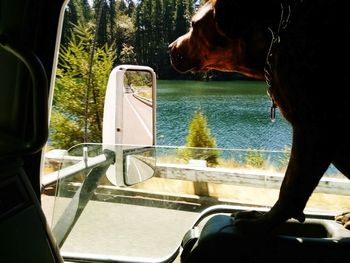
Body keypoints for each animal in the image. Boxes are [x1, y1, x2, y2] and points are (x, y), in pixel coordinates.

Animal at [168, 0, 348, 233]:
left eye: (193, 24)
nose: (169, 48)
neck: (273, 37)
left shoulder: (313, 127)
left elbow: (289, 188)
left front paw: (262, 222)